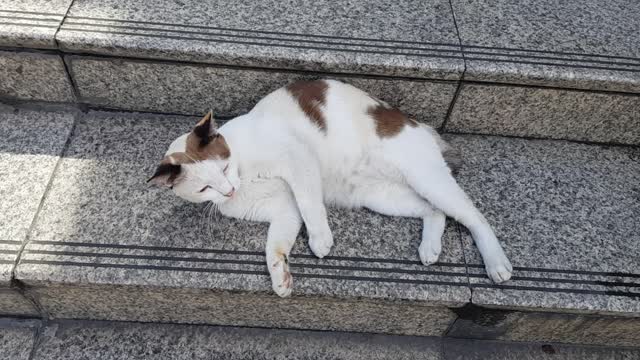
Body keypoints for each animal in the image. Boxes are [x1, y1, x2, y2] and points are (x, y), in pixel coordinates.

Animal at [148, 80, 512, 296]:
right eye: (204, 188)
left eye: (224, 168)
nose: (228, 191)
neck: (243, 167)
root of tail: (417, 124)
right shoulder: (283, 208)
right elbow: (274, 244)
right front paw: (280, 278)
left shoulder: (299, 160)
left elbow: (310, 203)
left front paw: (321, 239)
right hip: (382, 196)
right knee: (434, 211)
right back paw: (430, 248)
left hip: (426, 177)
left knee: (473, 216)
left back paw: (497, 263)